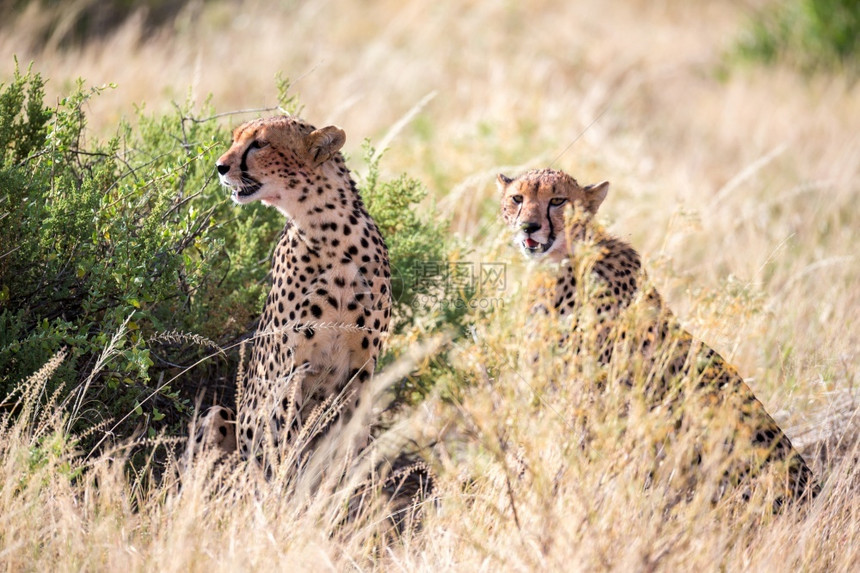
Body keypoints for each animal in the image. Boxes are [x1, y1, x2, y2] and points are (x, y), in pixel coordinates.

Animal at [212, 114, 394, 466]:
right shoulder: (288, 368)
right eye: (234, 139)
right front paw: (286, 480)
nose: (220, 167)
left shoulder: (362, 366)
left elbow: (351, 438)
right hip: (221, 415)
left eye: (259, 143)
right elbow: (285, 442)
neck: (328, 230)